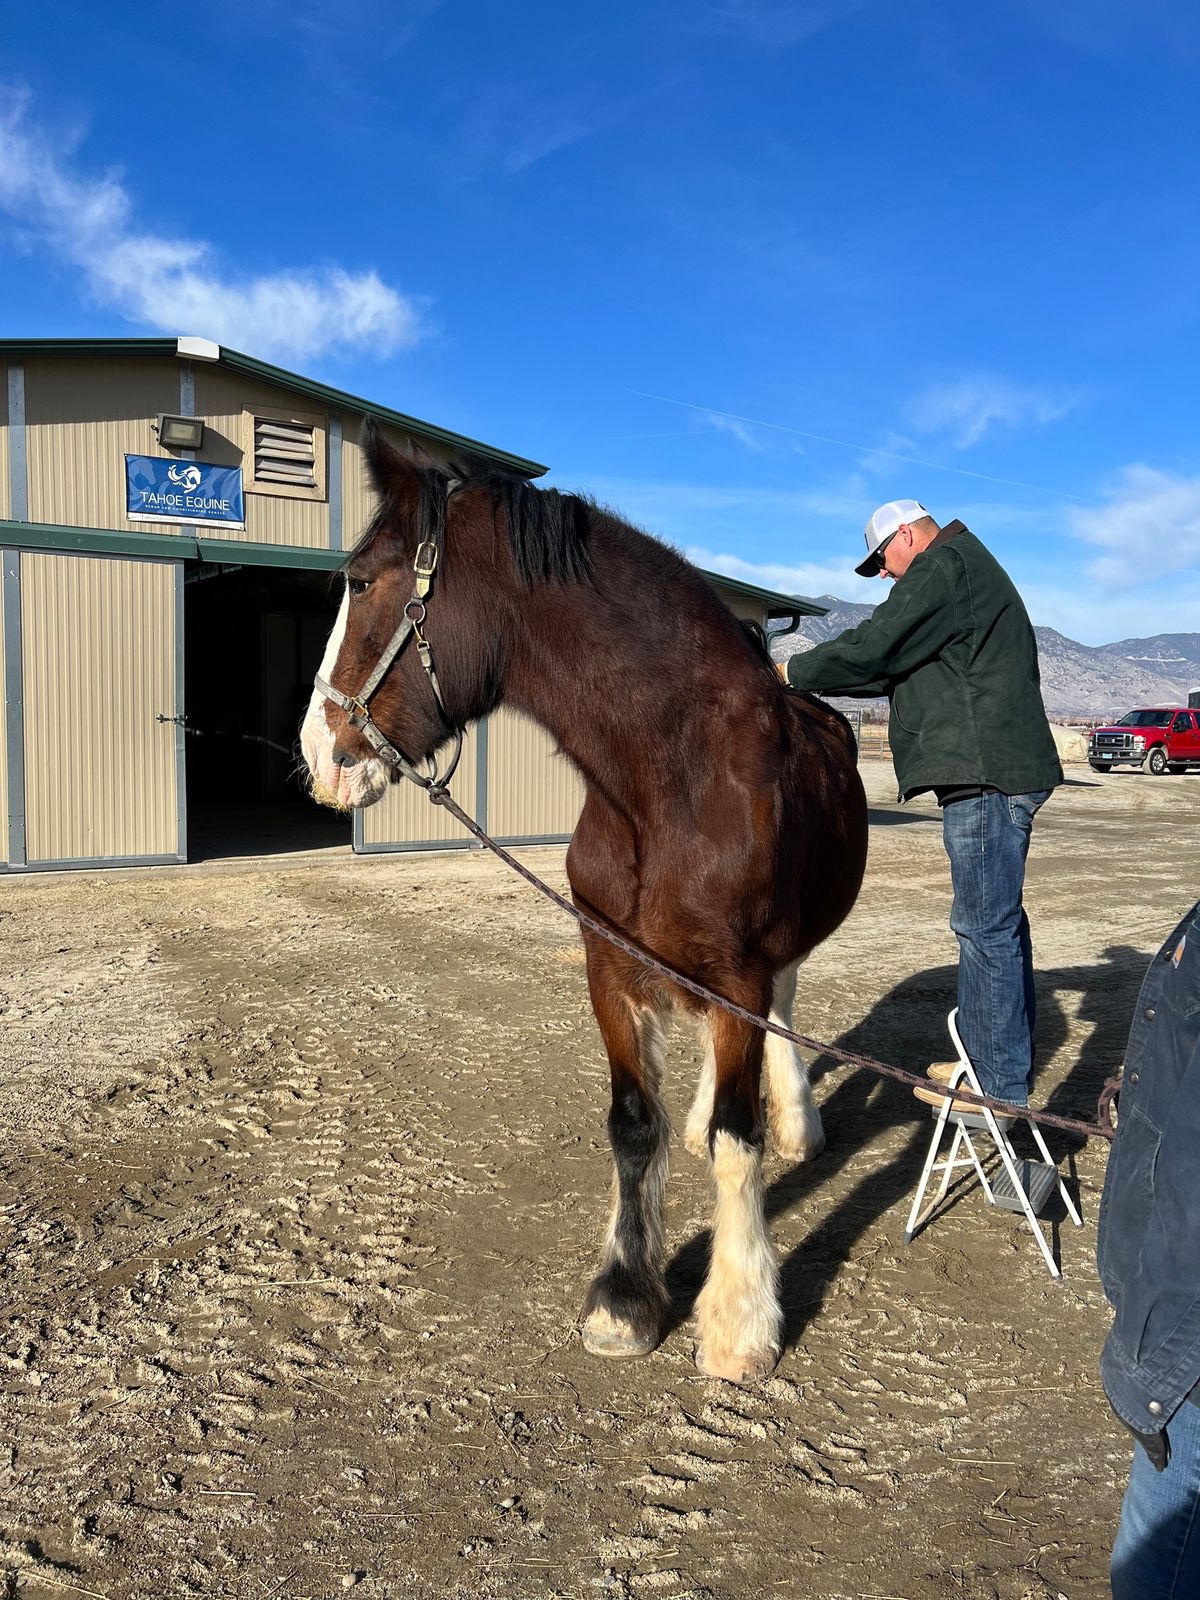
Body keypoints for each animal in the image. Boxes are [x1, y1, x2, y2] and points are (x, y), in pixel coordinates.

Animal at [299, 422, 864, 1376]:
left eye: (360, 581)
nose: (320, 756)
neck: (668, 781)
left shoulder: (740, 975)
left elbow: (739, 1143)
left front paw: (739, 1319)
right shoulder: (610, 965)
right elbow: (633, 1126)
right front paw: (624, 1301)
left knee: (784, 1012)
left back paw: (798, 1122)